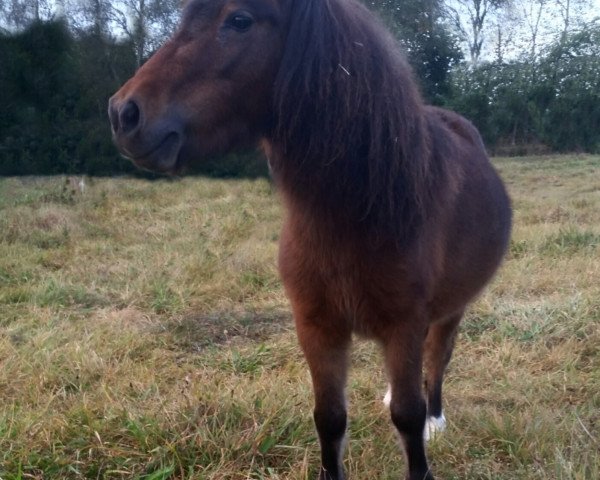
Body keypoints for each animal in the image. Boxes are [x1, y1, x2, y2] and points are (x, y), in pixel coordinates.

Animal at [108, 1, 510, 478]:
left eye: (239, 20)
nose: (123, 113)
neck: (361, 214)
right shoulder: (317, 326)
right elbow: (329, 419)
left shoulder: (404, 324)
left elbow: (408, 417)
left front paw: (421, 434)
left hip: (452, 309)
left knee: (437, 358)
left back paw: (436, 418)